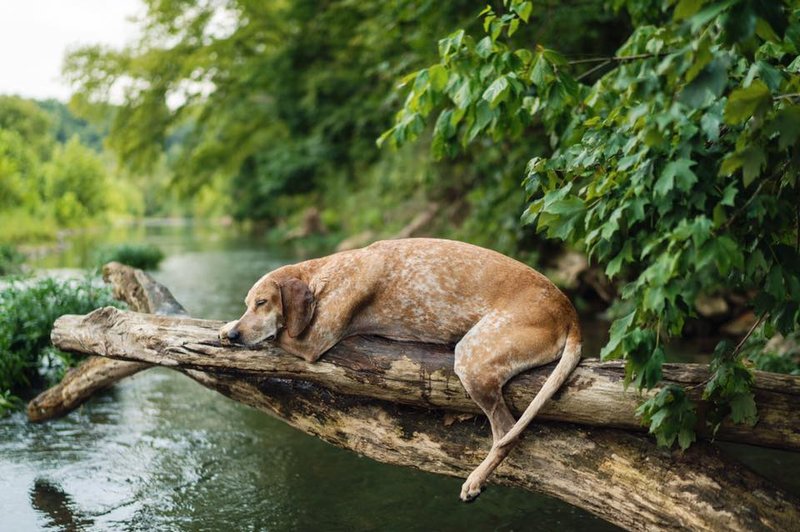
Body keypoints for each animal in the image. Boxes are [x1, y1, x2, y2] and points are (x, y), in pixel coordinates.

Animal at [219, 239, 580, 500]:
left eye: (262, 303)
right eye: (248, 304)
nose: (237, 335)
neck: (324, 274)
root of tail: (569, 310)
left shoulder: (313, 341)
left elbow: (279, 335)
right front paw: (226, 326)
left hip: (472, 357)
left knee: (506, 433)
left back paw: (475, 480)